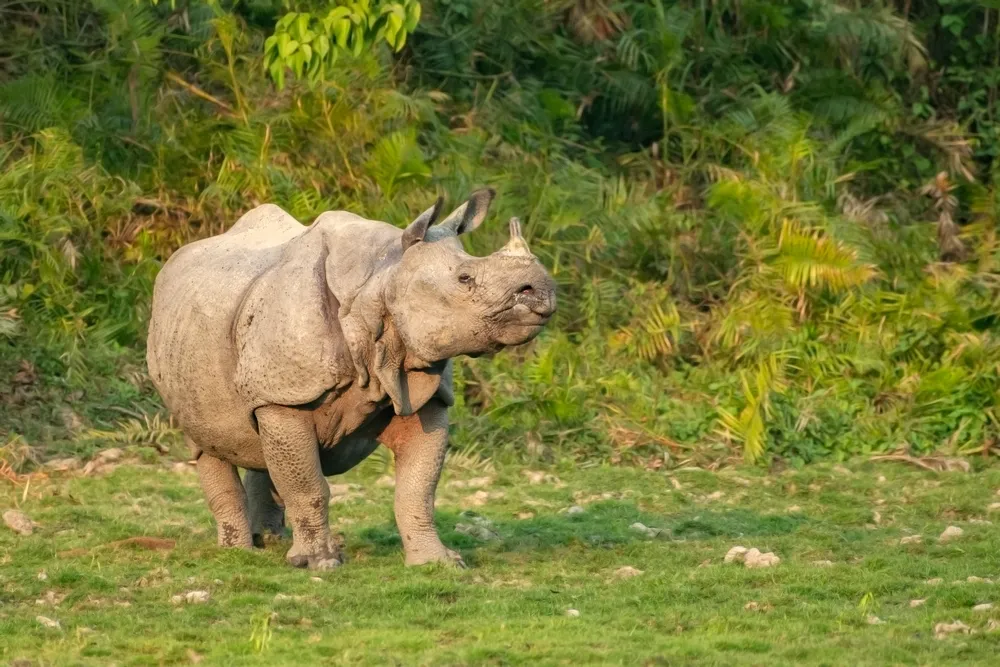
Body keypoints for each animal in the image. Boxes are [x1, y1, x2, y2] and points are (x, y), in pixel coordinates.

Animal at [146, 189, 555, 569]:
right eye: (464, 278)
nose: (542, 290)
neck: (382, 279)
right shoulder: (287, 395)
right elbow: (309, 485)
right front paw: (320, 564)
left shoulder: (425, 386)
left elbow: (418, 489)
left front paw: (439, 562)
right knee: (208, 442)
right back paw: (239, 551)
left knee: (259, 442)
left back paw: (272, 541)